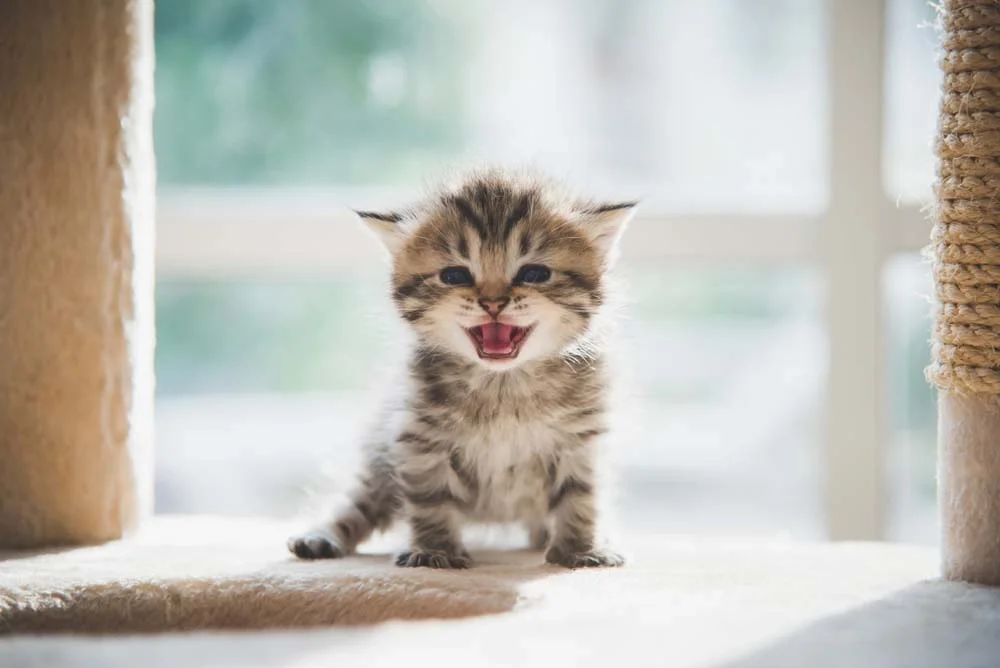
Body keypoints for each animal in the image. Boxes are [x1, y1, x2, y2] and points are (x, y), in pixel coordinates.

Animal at [288, 167, 632, 568]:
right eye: (455, 276)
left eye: (534, 273)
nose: (493, 303)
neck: (503, 386)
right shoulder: (420, 438)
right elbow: (430, 498)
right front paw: (435, 553)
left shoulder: (581, 440)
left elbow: (581, 497)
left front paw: (579, 550)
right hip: (379, 461)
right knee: (358, 501)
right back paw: (320, 536)